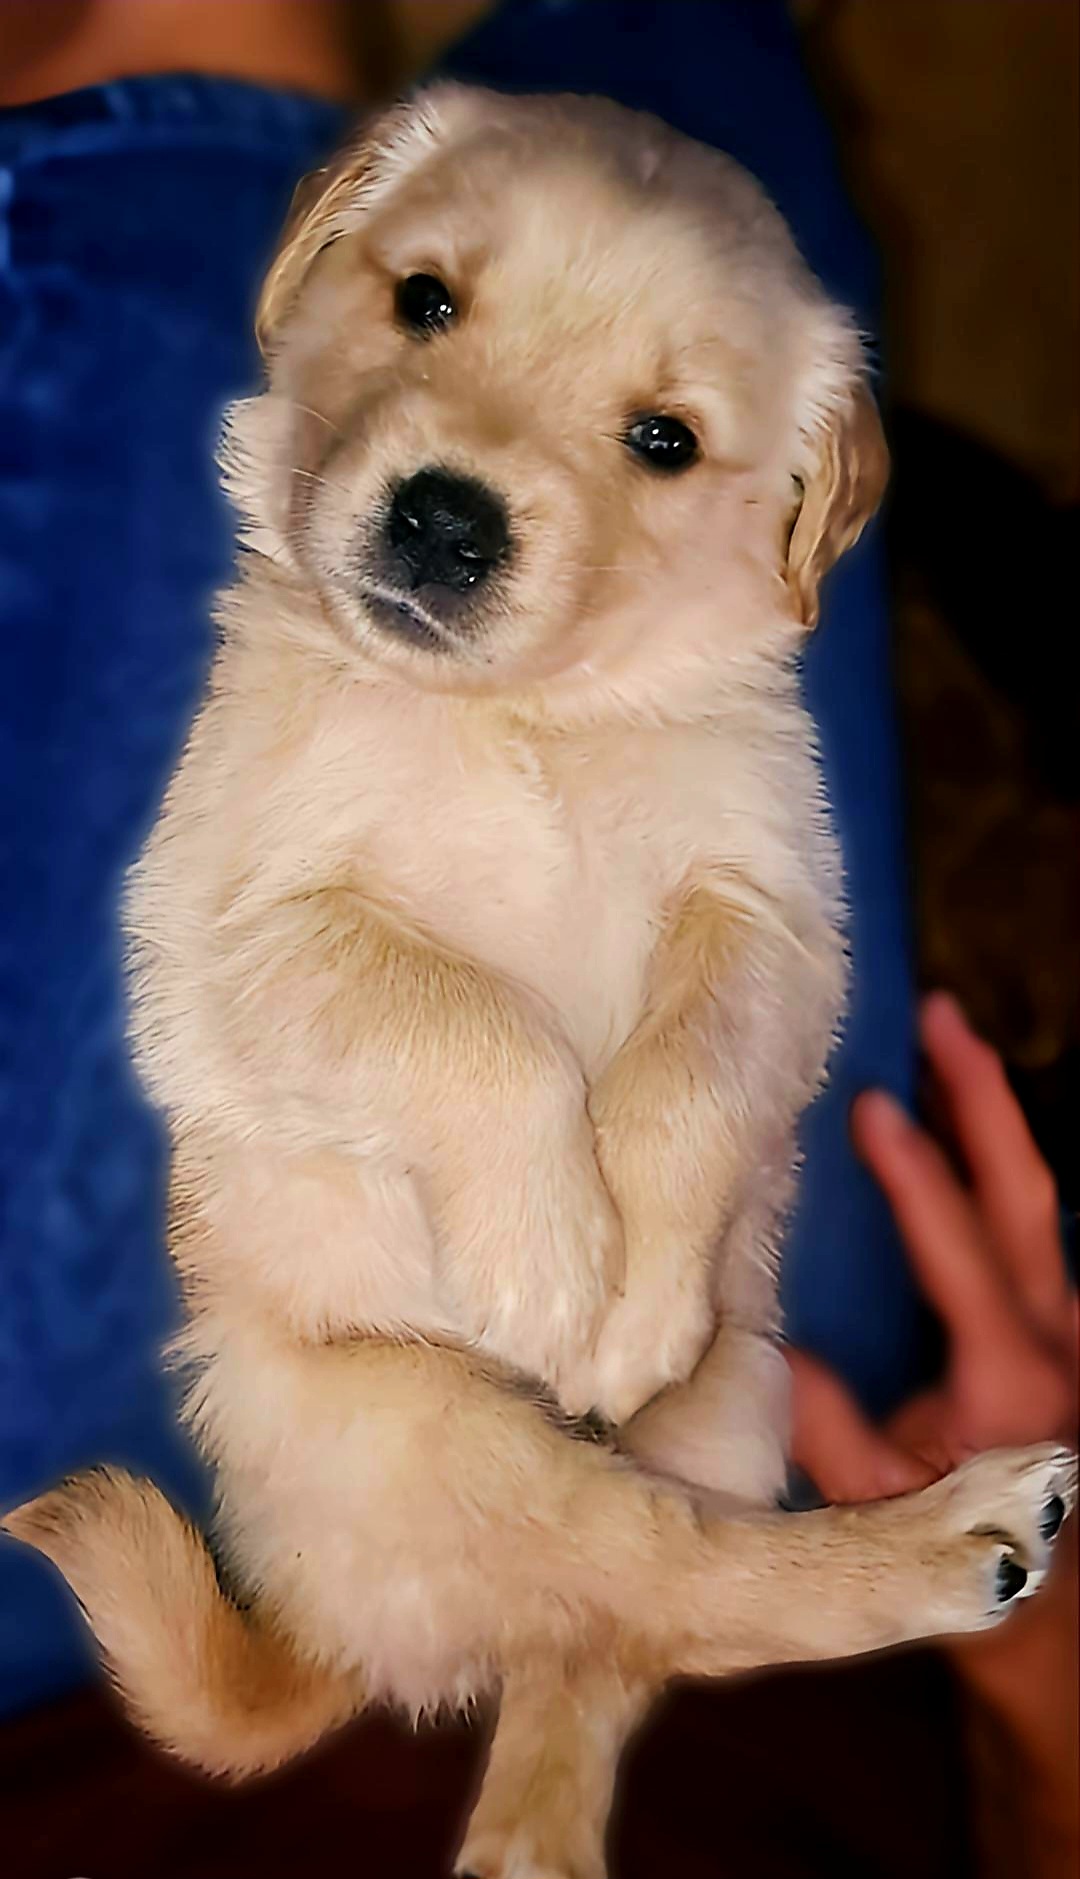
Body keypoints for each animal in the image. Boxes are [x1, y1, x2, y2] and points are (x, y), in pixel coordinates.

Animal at [6, 86, 1073, 1879]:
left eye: (666, 439)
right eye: (425, 299)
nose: (446, 517)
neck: (526, 715)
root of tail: (325, 1626)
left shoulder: (773, 907)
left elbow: (681, 1065)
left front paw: (625, 1294)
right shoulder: (238, 922)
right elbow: (469, 1020)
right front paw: (553, 1264)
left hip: (732, 1388)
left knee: (645, 1620)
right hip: (441, 1434)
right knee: (642, 1588)